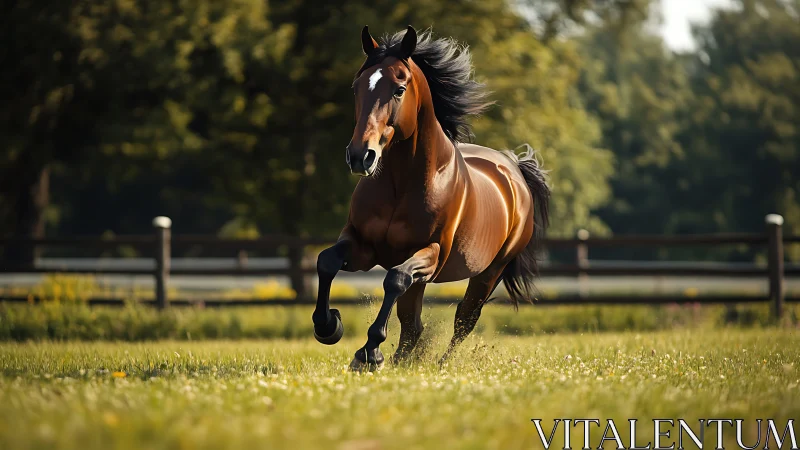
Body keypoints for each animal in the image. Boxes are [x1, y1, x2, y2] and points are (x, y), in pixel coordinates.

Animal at [311, 25, 550, 370]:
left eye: (399, 89)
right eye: (357, 87)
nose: (360, 156)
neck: (401, 184)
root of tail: (514, 169)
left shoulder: (430, 253)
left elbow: (395, 279)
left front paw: (369, 351)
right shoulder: (363, 246)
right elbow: (327, 261)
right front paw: (329, 325)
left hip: (490, 272)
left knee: (464, 319)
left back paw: (438, 363)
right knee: (413, 324)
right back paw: (402, 359)